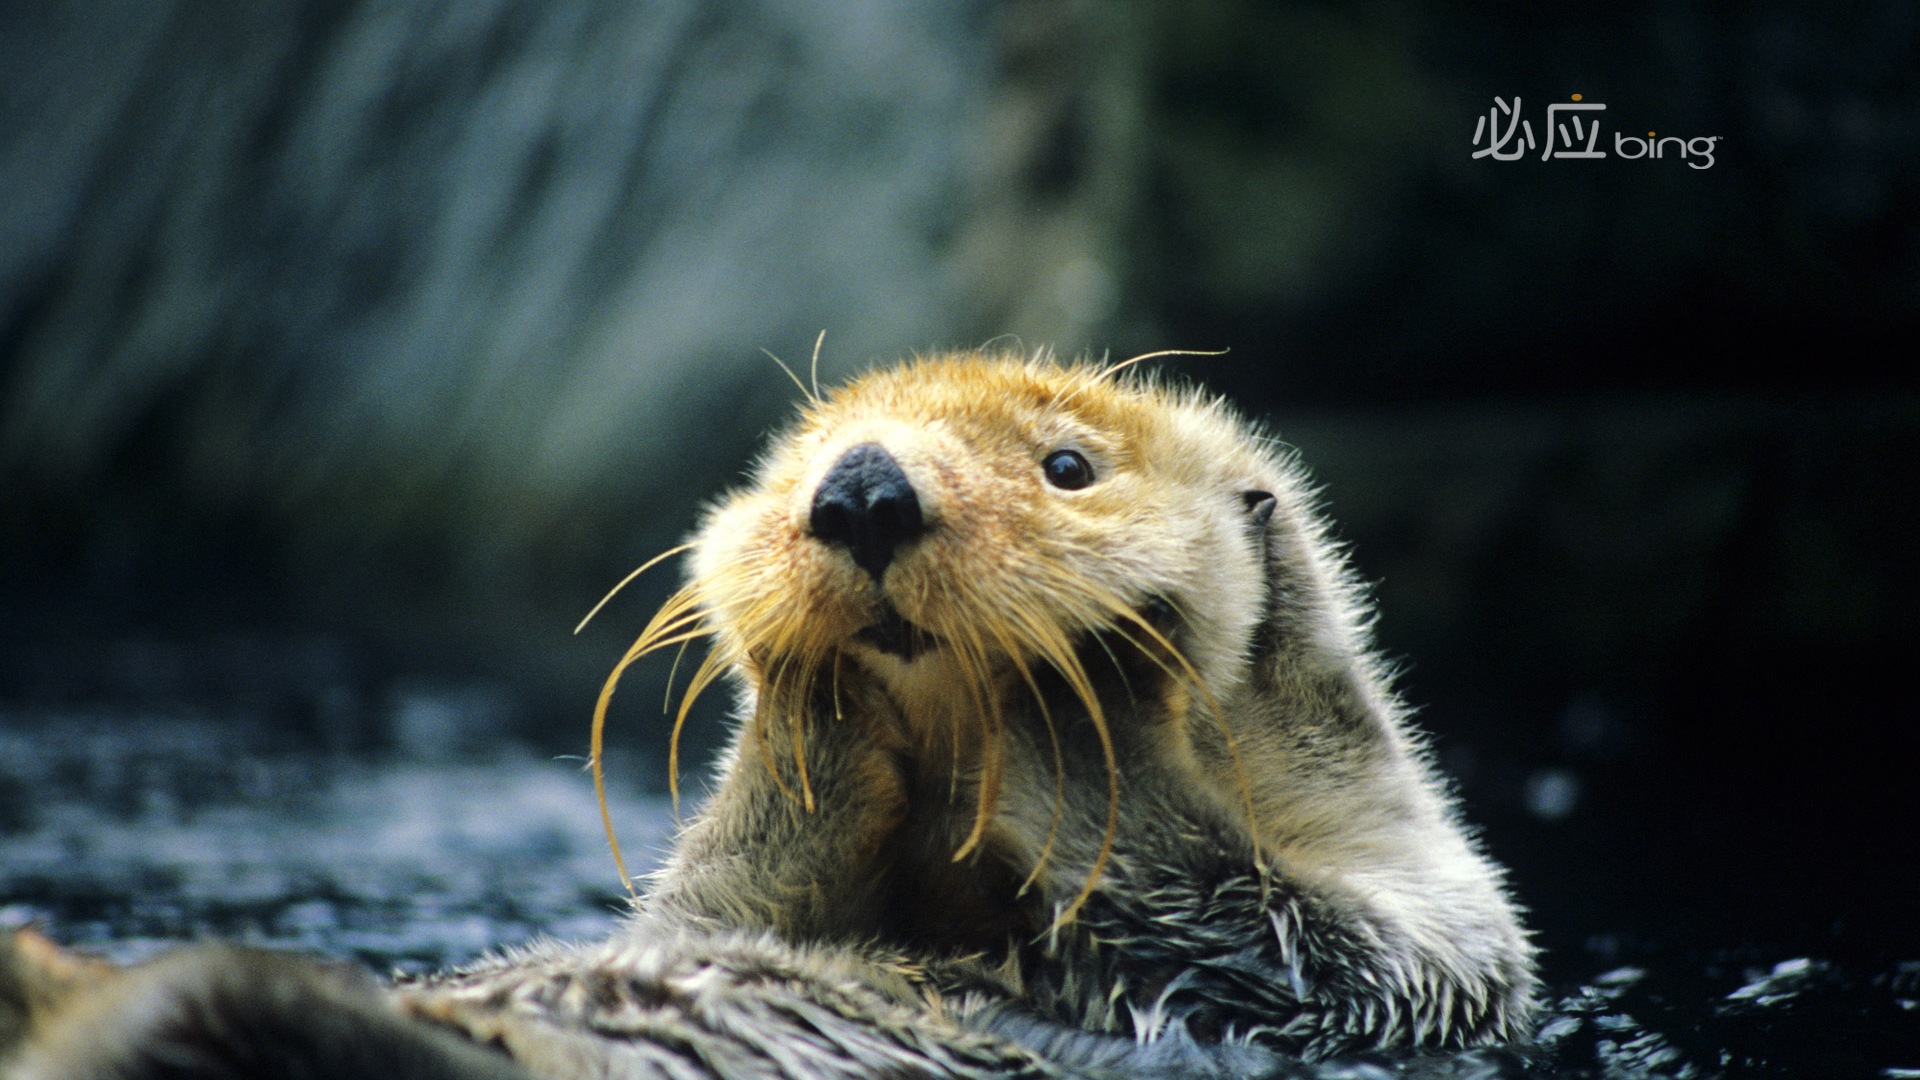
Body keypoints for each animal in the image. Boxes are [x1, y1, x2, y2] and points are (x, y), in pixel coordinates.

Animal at [0, 349, 1528, 1068]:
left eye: (1070, 465)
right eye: (800, 459)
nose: (859, 490)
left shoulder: (1422, 935)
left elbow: (1277, 929)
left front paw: (1071, 684)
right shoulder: (718, 910)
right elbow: (719, 897)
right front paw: (804, 706)